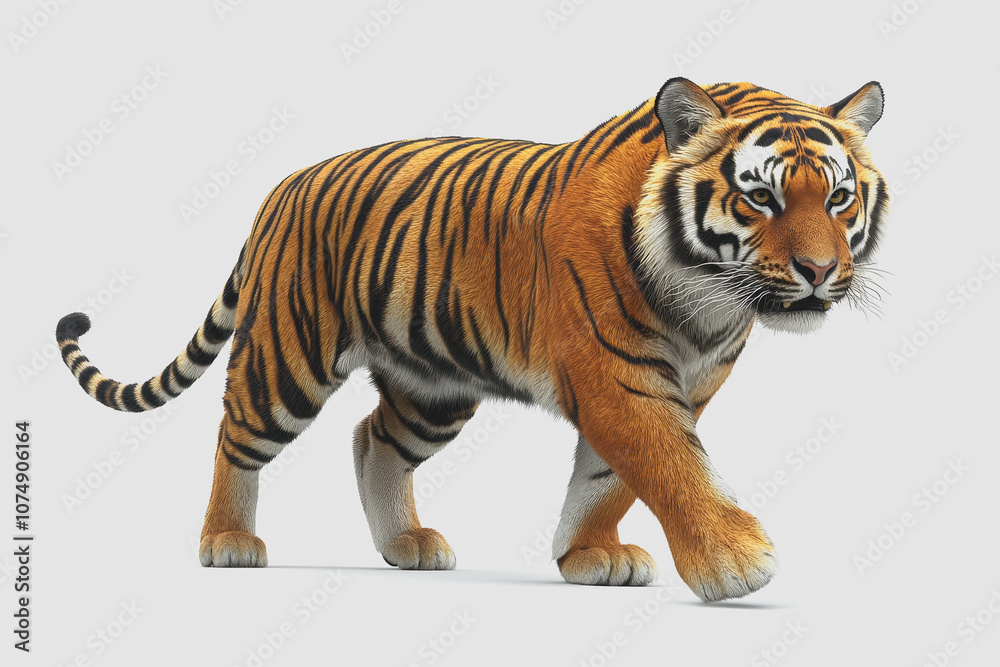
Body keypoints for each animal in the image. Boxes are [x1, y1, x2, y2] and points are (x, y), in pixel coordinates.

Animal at [55, 77, 888, 602]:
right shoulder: (621, 376)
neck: (709, 298)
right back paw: (228, 540)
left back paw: (406, 545)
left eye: (839, 197)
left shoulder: (687, 380)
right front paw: (735, 561)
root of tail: (281, 187)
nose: (820, 271)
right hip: (288, 357)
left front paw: (587, 555)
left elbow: (607, 478)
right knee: (237, 434)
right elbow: (668, 462)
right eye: (760, 197)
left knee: (372, 437)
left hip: (434, 386)